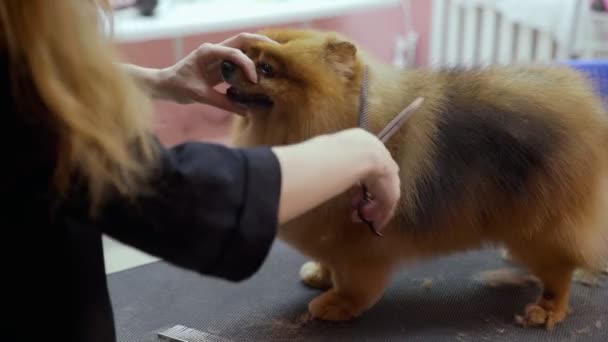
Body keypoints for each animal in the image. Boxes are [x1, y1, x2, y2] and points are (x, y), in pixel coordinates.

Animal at [221, 29, 608, 328]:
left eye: (266, 68)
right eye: (245, 55)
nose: (225, 63)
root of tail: (589, 110)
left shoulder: (360, 243)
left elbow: (355, 282)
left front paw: (339, 303)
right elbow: (330, 258)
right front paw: (322, 274)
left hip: (540, 226)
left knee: (560, 271)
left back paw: (548, 309)